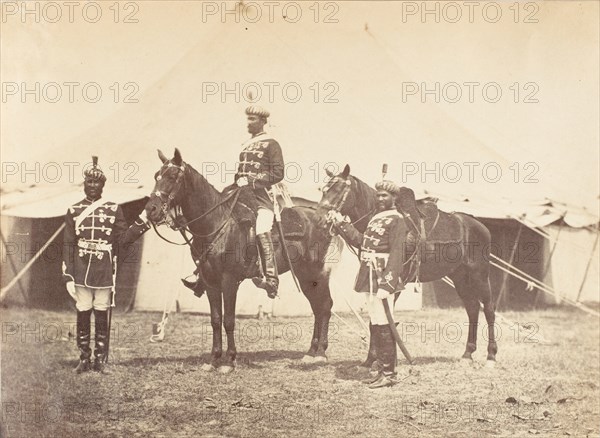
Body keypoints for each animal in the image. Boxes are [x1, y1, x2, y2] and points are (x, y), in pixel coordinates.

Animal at [143, 151, 336, 372]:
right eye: (156, 176)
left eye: (173, 176)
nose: (151, 210)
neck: (216, 223)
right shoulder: (210, 282)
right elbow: (216, 320)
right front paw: (214, 359)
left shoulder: (229, 281)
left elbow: (229, 320)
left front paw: (229, 361)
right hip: (305, 277)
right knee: (317, 307)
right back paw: (311, 352)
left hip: (315, 272)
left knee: (325, 305)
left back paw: (320, 353)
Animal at [314, 163, 496, 362]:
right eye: (324, 190)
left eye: (339, 189)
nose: (320, 219)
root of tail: (481, 225)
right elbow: (375, 321)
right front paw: (372, 359)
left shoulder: (394, 283)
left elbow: (384, 320)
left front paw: (380, 359)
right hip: (461, 278)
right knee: (472, 308)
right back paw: (468, 353)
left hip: (480, 275)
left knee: (488, 309)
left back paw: (491, 355)